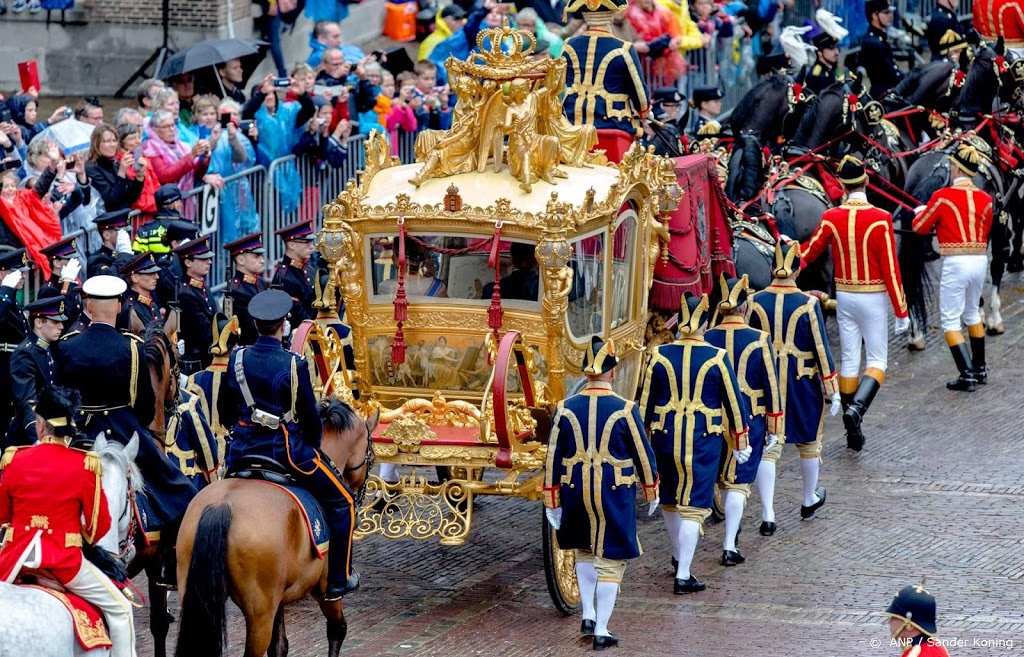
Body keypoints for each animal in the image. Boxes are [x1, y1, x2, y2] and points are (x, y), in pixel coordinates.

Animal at [172, 397, 380, 654]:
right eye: (371, 454)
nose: (359, 500)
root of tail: (222, 505)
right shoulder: (325, 590)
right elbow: (337, 630)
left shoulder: (279, 599)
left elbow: (279, 646)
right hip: (259, 613)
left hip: (195, 596)